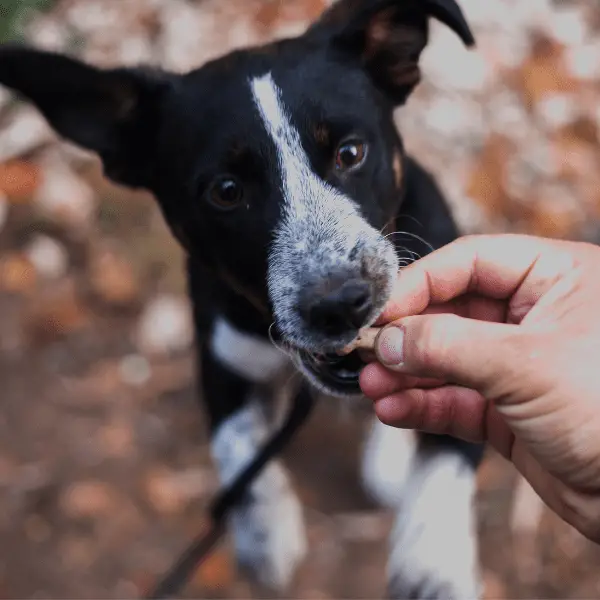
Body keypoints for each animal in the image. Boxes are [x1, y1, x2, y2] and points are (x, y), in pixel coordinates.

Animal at [0, 1, 488, 596]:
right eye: (226, 191)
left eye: (351, 152)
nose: (340, 302)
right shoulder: (223, 356)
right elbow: (236, 447)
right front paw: (265, 535)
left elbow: (447, 462)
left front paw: (432, 564)